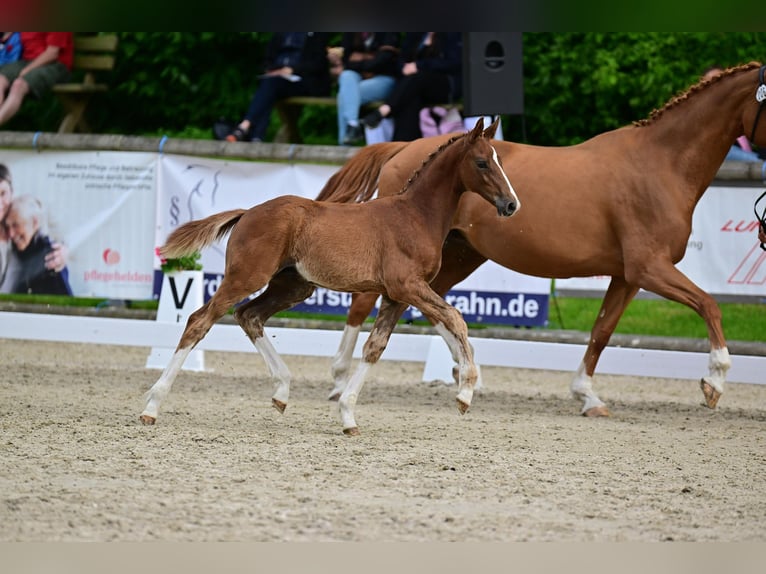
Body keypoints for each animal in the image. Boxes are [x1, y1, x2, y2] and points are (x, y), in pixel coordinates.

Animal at [140, 118, 520, 435]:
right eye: (482, 162)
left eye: (501, 161)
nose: (511, 205)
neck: (415, 215)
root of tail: (248, 212)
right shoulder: (407, 286)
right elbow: (456, 319)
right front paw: (465, 393)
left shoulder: (397, 295)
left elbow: (375, 347)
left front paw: (348, 416)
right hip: (246, 277)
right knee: (200, 320)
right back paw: (152, 406)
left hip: (293, 286)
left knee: (248, 315)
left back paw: (282, 391)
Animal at [305, 61, 766, 417]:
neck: (659, 164)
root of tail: (402, 147)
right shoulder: (649, 268)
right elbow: (709, 304)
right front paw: (714, 382)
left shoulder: (627, 276)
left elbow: (602, 330)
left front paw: (587, 396)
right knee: (367, 301)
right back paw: (341, 378)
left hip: (458, 254)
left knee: (431, 305)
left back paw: (464, 374)